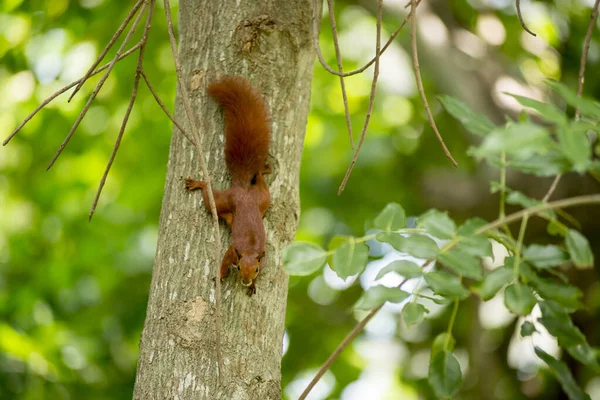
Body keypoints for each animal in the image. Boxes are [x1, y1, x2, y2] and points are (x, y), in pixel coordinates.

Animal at [186, 76, 270, 296]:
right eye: (239, 268)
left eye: (256, 269)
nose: (246, 281)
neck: (249, 251)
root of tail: (243, 189)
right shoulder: (232, 252)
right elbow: (223, 262)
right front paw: (221, 275)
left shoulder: (263, 258)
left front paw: (254, 285)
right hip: (224, 201)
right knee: (209, 197)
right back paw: (199, 183)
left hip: (262, 199)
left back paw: (262, 171)